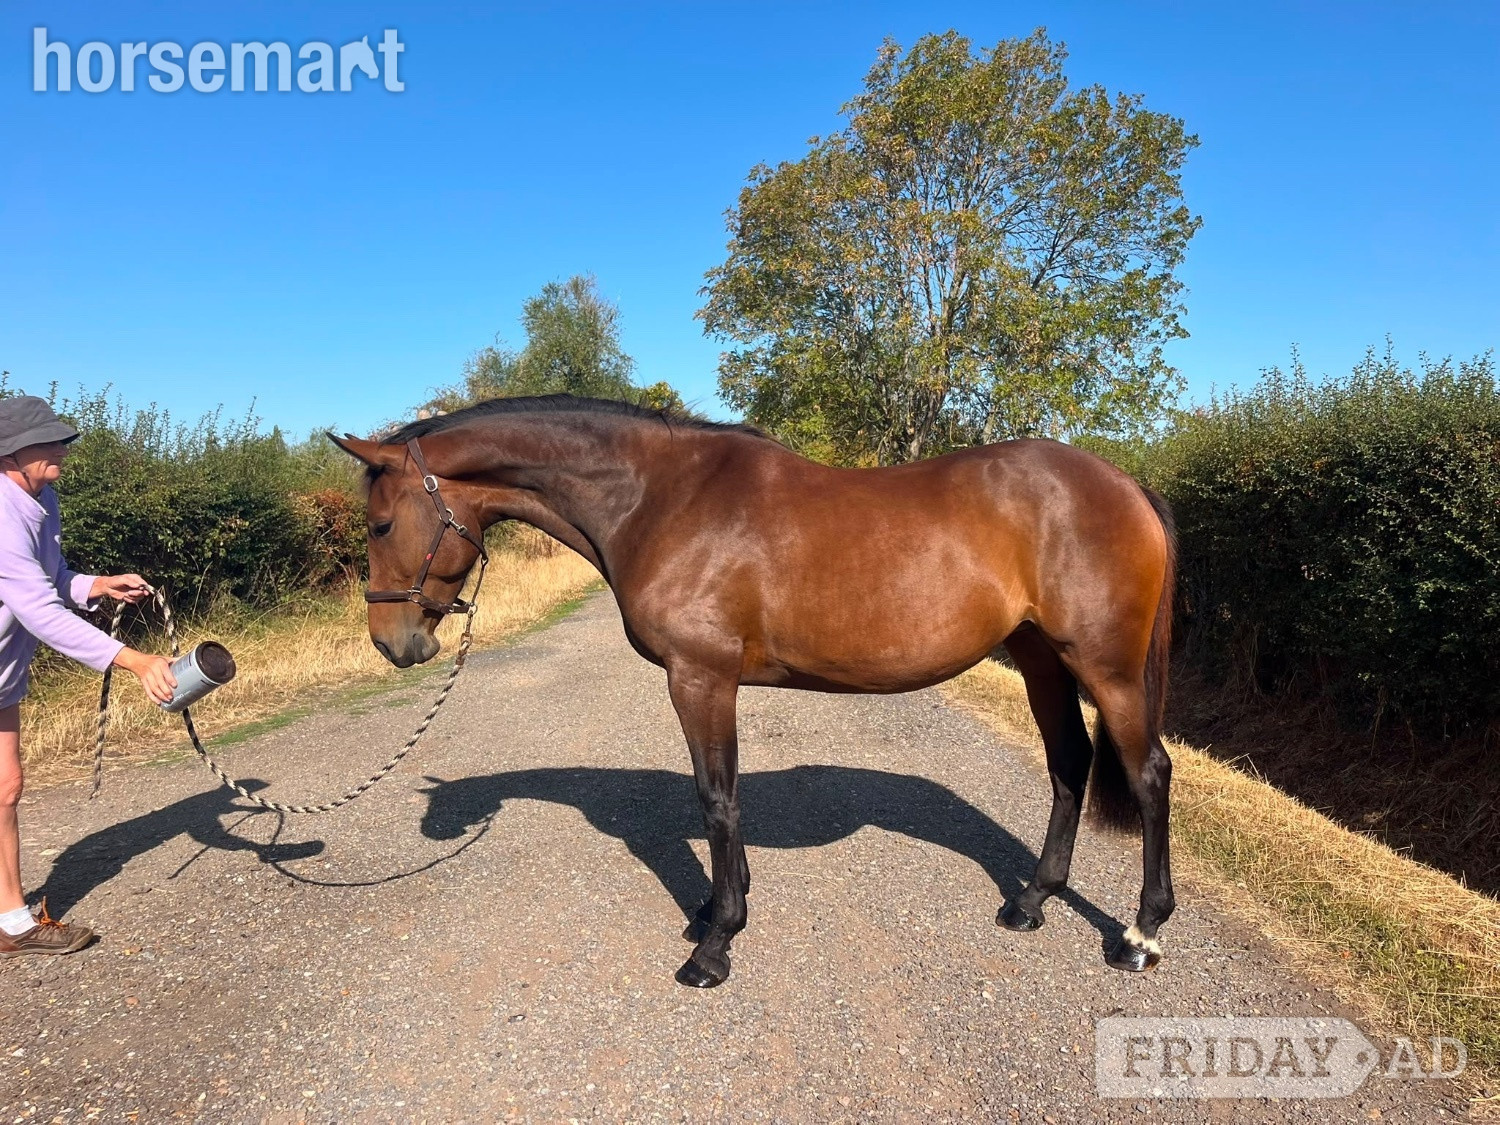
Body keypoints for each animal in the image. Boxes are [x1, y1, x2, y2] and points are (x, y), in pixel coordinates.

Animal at [329, 395, 1177, 989]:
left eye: (379, 524)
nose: (393, 643)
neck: (658, 496)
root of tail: (1125, 483)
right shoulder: (708, 681)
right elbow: (721, 797)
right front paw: (715, 909)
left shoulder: (699, 676)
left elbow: (717, 800)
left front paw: (715, 944)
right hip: (1040, 660)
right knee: (1069, 767)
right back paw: (1031, 902)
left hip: (1104, 668)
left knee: (1149, 775)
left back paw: (1140, 934)